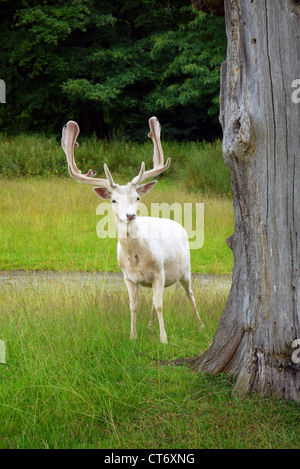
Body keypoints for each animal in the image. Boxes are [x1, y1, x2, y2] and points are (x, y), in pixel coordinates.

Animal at [61, 116, 203, 344]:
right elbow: (134, 306)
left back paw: (200, 325)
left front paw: (164, 339)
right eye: (113, 200)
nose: (130, 215)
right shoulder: (127, 277)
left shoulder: (159, 271)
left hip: (186, 269)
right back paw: (150, 326)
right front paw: (133, 336)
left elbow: (160, 305)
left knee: (190, 294)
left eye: (137, 197)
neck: (136, 257)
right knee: (155, 301)